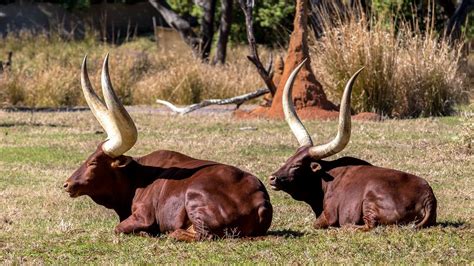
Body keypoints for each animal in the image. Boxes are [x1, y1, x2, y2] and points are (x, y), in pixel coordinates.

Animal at [63, 54, 272, 241]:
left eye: (93, 162)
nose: (67, 184)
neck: (136, 178)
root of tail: (260, 198)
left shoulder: (143, 216)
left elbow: (119, 228)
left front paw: (146, 232)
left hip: (194, 197)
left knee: (198, 234)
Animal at [268, 61, 438, 230]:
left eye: (297, 166)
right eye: (289, 159)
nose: (272, 178)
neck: (325, 179)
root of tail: (428, 197)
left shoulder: (328, 215)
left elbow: (316, 223)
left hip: (370, 201)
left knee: (369, 225)